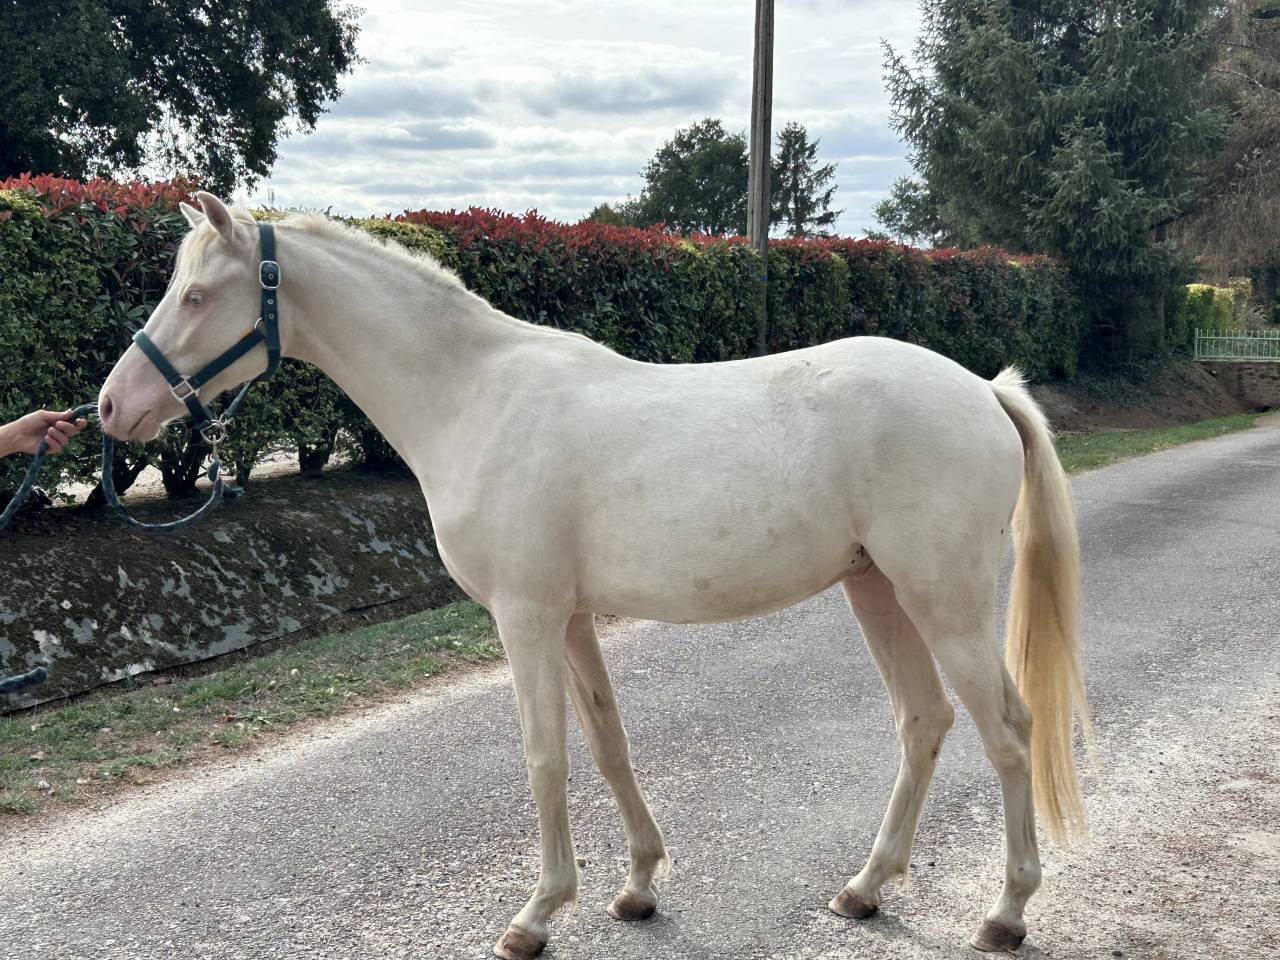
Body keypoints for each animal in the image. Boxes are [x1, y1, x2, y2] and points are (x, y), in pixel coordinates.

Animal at [99, 192, 1089, 959]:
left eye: (197, 294)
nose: (112, 408)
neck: (473, 397)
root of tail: (982, 389)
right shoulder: (569, 618)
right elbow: (608, 744)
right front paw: (639, 885)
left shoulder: (526, 617)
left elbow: (546, 758)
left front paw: (537, 915)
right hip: (876, 589)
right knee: (923, 722)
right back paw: (866, 887)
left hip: (941, 601)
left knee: (1007, 729)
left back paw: (1006, 911)